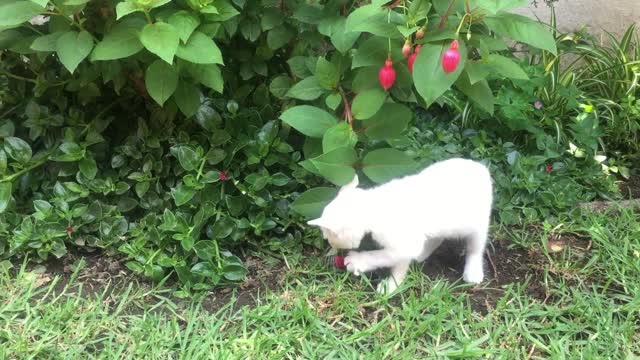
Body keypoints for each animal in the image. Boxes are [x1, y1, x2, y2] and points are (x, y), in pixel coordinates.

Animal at [308, 159, 492, 294]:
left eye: (327, 236)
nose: (329, 244)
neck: (373, 206)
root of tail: (481, 167)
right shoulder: (408, 244)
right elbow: (399, 264)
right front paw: (393, 285)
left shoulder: (404, 244)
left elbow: (382, 256)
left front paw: (359, 262)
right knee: (437, 238)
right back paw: (422, 254)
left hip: (478, 225)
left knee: (475, 248)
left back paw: (473, 271)